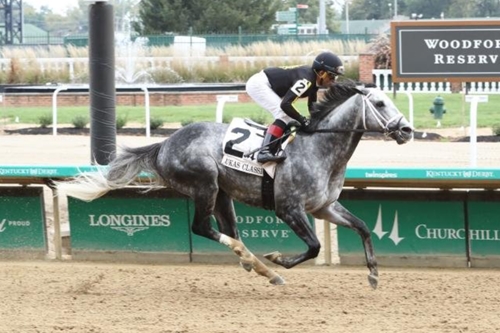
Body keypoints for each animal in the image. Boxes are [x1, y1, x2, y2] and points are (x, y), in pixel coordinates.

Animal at [57, 82, 410, 288]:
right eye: (380, 104)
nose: (406, 130)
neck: (319, 148)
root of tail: (165, 144)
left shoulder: (325, 207)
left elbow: (362, 227)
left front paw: (373, 273)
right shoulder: (289, 209)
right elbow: (314, 247)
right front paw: (279, 258)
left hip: (223, 195)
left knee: (229, 230)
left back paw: (257, 266)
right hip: (205, 185)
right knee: (202, 228)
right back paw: (260, 264)